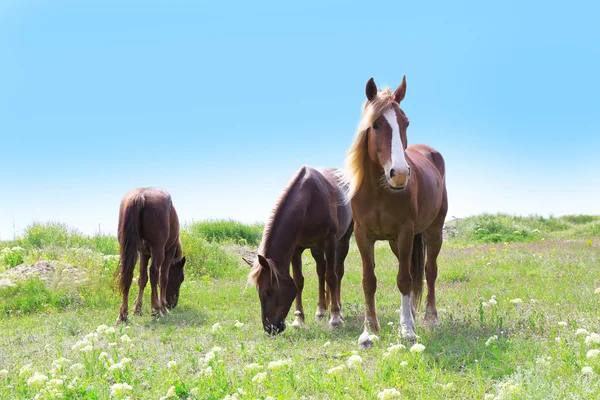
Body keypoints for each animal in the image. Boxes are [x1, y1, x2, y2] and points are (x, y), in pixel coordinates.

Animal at [115, 188, 185, 322]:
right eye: (181, 278)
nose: (172, 304)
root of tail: (140, 195)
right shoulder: (168, 252)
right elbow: (163, 278)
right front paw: (163, 307)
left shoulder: (144, 254)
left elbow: (142, 279)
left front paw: (137, 309)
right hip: (158, 249)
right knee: (154, 273)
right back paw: (156, 309)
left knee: (128, 274)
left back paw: (123, 314)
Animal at [245, 166, 354, 334]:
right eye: (258, 290)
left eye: (269, 290)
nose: (270, 328)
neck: (308, 203)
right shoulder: (296, 249)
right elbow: (298, 281)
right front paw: (298, 320)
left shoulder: (330, 242)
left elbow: (331, 277)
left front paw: (335, 319)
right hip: (316, 248)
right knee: (321, 271)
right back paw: (321, 310)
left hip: (342, 240)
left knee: (337, 272)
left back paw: (338, 310)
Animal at [344, 76, 448, 348]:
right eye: (375, 124)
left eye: (406, 122)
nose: (399, 174)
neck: (379, 192)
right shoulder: (363, 236)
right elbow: (369, 281)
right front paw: (369, 331)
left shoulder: (405, 233)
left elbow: (404, 279)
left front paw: (407, 331)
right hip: (395, 242)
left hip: (433, 232)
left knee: (429, 271)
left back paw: (430, 318)